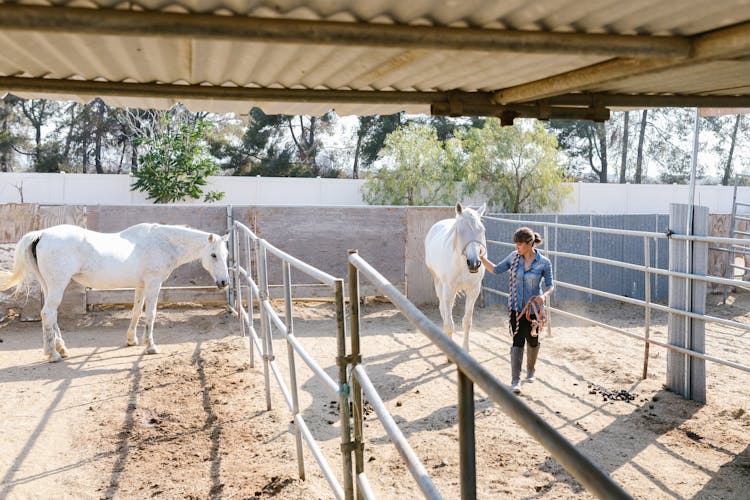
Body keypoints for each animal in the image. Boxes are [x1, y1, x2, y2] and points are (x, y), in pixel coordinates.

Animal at [0, 225, 229, 362]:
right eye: (213, 255)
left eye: (226, 254)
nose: (224, 282)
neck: (161, 243)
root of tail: (41, 234)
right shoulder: (153, 283)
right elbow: (151, 314)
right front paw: (151, 346)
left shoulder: (141, 286)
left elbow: (136, 312)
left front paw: (132, 340)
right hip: (57, 284)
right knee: (48, 313)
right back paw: (54, 354)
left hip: (48, 285)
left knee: (50, 315)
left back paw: (59, 349)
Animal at [428, 203, 488, 352]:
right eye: (460, 231)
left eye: (482, 230)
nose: (474, 263)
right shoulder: (448, 289)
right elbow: (449, 323)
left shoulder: (473, 291)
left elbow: (467, 321)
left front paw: (465, 349)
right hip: (439, 283)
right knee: (443, 309)